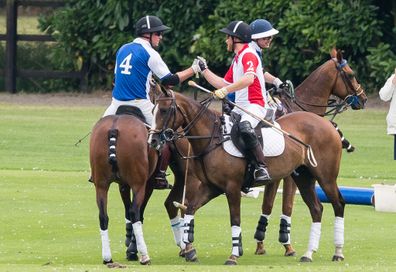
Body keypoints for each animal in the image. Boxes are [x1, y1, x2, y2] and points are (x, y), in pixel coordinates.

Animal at [149, 90, 346, 264]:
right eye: (153, 110)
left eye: (164, 110)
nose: (152, 141)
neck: (212, 138)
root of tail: (327, 124)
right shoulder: (211, 187)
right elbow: (190, 208)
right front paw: (189, 251)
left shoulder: (232, 187)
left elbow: (235, 219)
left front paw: (234, 256)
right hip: (304, 177)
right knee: (316, 209)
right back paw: (309, 253)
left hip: (326, 177)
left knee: (338, 204)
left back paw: (338, 252)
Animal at [255, 48, 366, 255]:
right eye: (351, 74)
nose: (364, 99)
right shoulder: (288, 174)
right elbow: (286, 204)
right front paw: (286, 244)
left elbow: (268, 204)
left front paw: (261, 244)